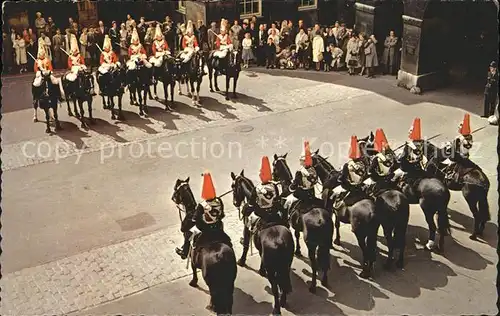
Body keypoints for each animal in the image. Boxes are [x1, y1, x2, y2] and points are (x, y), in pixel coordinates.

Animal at [172, 178, 236, 314]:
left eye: (176, 189)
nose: (173, 198)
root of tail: (220, 256)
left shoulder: (192, 256)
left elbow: (193, 270)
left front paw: (193, 282)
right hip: (230, 280)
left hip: (211, 281)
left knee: (214, 293)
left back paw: (212, 306)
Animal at [230, 172, 292, 314]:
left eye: (234, 187)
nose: (235, 202)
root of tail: (280, 241)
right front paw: (260, 269)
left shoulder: (246, 228)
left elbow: (246, 245)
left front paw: (241, 261)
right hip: (285, 265)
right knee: (283, 283)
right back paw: (283, 301)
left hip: (273, 270)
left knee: (275, 286)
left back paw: (276, 309)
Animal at [272, 153, 334, 292]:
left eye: (273, 166)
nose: (273, 177)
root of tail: (321, 220)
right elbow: (296, 234)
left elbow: (295, 235)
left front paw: (298, 251)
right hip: (326, 243)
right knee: (326, 260)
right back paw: (325, 280)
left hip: (311, 245)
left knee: (314, 264)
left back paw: (313, 286)